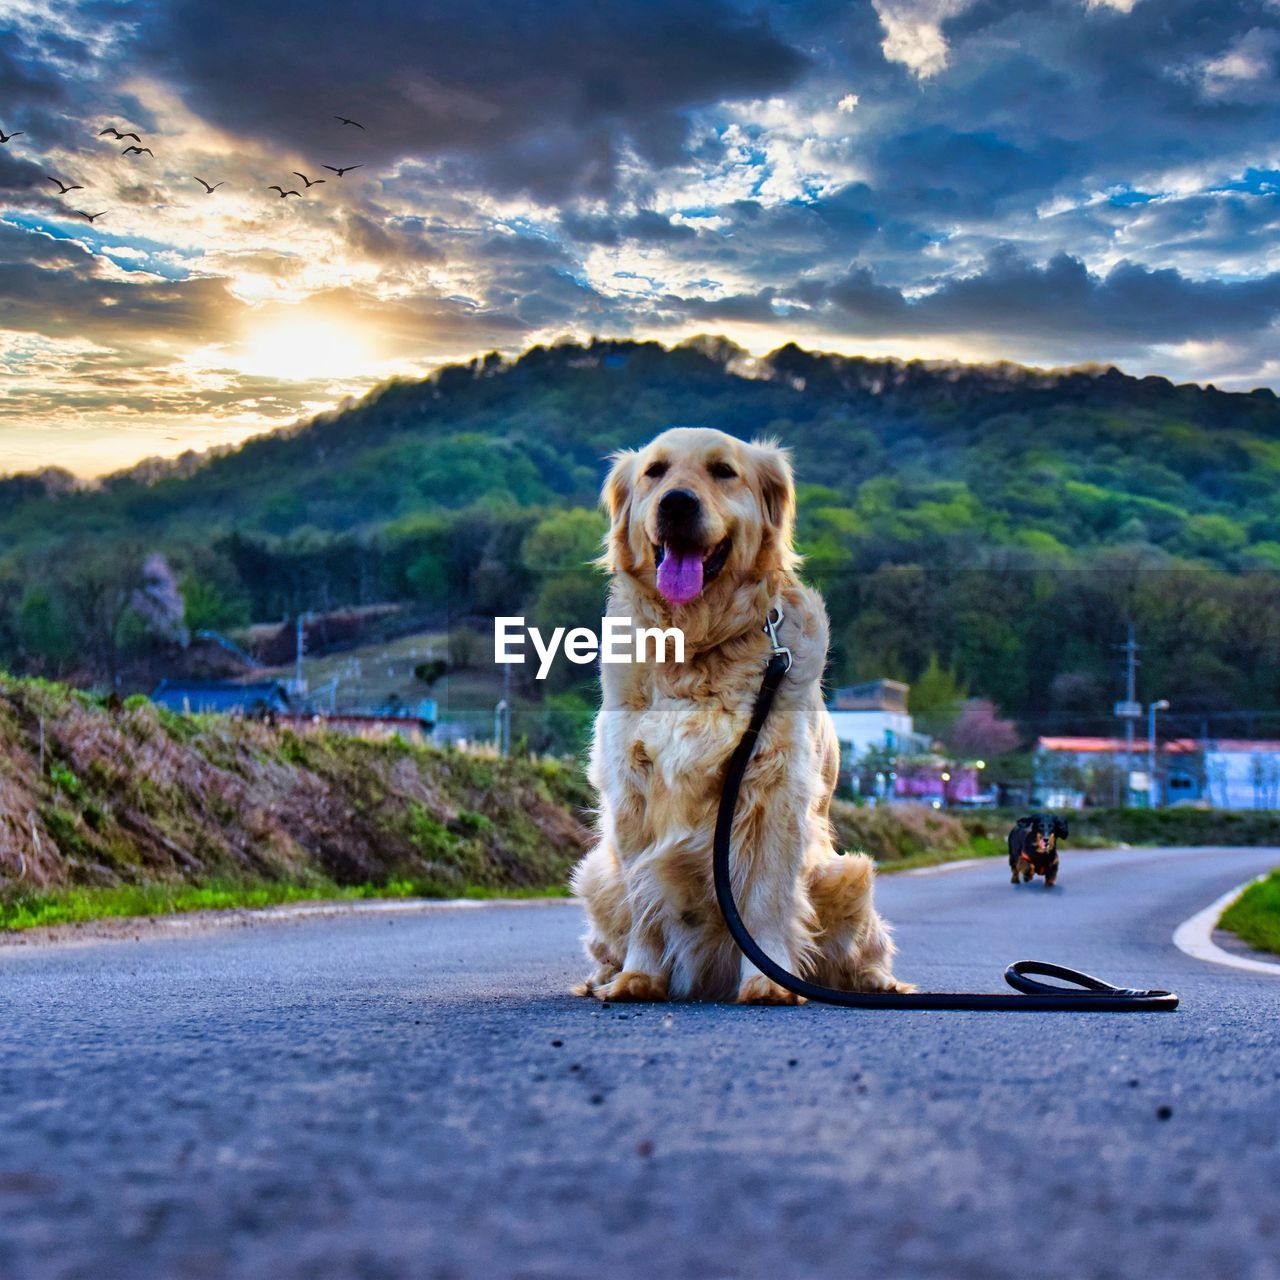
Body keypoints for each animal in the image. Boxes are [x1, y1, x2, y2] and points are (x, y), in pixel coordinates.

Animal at [570, 424, 911, 1003]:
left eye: (723, 471)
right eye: (655, 471)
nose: (676, 503)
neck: (696, 647)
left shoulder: (774, 788)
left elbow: (765, 899)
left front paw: (768, 979)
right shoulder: (632, 793)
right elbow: (644, 903)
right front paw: (639, 976)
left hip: (848, 874)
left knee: (858, 950)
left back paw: (875, 982)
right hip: (596, 873)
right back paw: (604, 977)